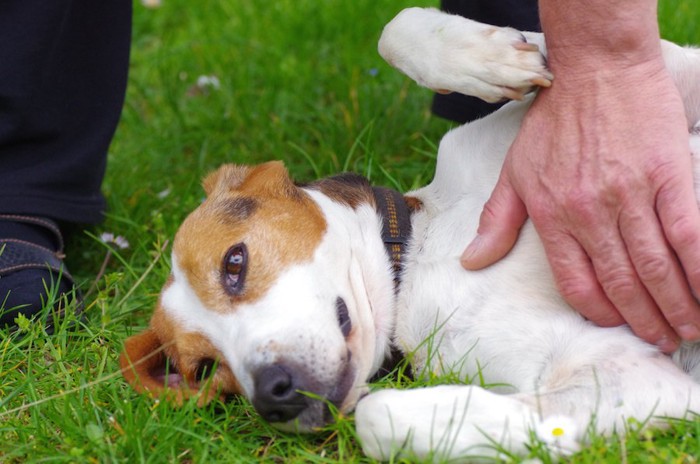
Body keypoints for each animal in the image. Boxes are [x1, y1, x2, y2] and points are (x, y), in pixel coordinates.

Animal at [121, 7, 700, 460]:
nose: (272, 396)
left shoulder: (663, 84)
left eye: (234, 264)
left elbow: (395, 27)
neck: (421, 252)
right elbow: (376, 415)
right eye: (204, 369)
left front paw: (492, 56)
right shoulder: (628, 376)